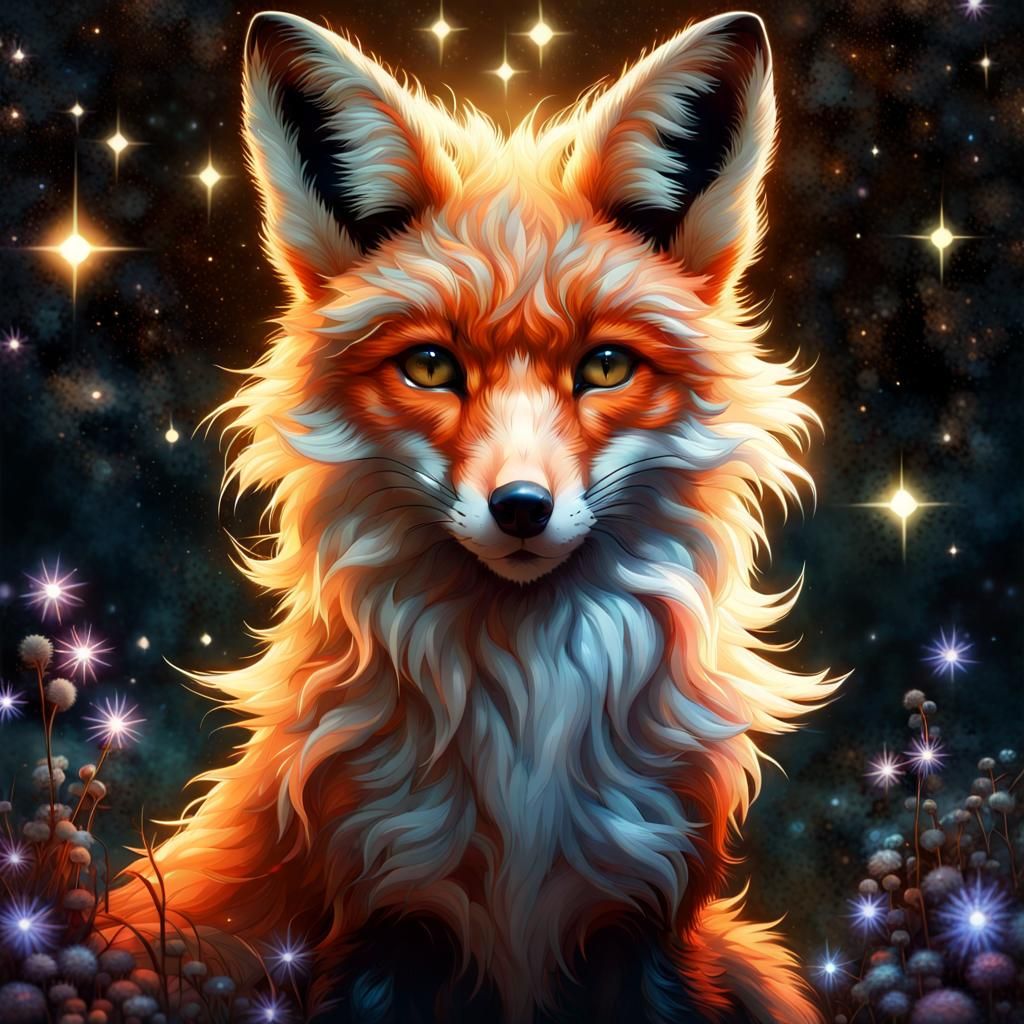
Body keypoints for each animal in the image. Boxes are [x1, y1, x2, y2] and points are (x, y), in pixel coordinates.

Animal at [107, 9, 839, 1023]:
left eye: (606, 366)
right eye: (431, 367)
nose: (522, 509)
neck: (525, 717)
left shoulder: (645, 925)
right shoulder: (382, 923)